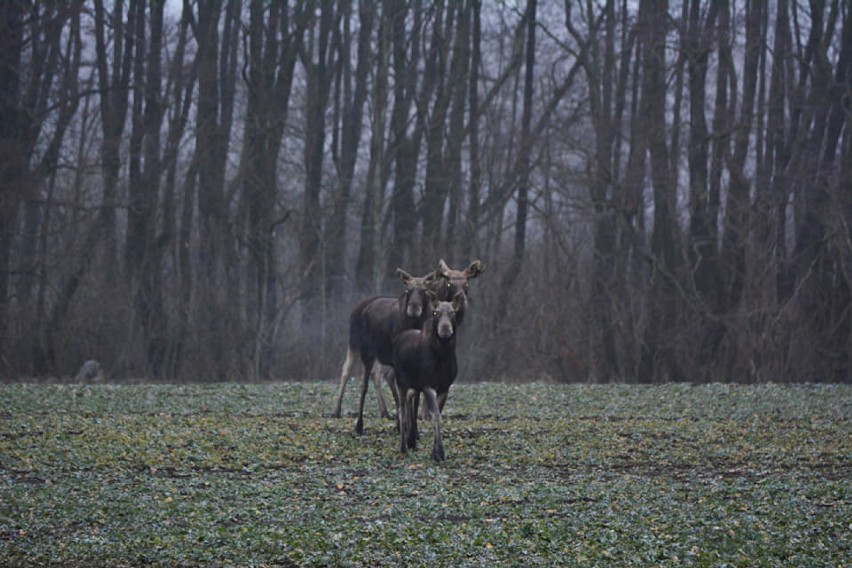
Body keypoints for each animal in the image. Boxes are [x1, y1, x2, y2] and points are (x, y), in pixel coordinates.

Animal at [394, 290, 466, 460]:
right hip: (401, 381)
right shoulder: (428, 385)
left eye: (453, 313)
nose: (445, 330)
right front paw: (438, 452)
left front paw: (437, 451)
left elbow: (437, 414)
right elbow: (435, 415)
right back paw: (403, 446)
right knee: (401, 410)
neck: (443, 359)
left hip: (415, 384)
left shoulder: (445, 386)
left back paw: (412, 440)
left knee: (410, 398)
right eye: (436, 312)